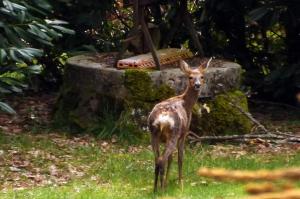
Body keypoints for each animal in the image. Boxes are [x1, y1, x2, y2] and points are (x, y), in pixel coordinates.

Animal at [147, 58, 211, 192]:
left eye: (202, 76)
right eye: (190, 77)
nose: (197, 85)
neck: (186, 104)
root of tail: (162, 120)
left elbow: (171, 159)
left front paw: (167, 182)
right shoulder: (184, 133)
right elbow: (180, 158)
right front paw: (181, 184)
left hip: (153, 134)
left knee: (157, 160)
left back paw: (155, 189)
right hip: (174, 133)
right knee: (162, 160)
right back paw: (162, 190)